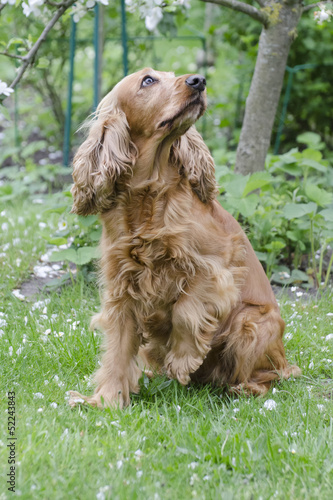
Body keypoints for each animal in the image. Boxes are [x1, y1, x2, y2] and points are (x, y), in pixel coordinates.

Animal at [68, 68, 300, 408]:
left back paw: (240, 388)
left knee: (269, 376)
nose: (199, 81)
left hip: (251, 323)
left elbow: (186, 309)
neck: (149, 196)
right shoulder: (121, 287)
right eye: (148, 80)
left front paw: (182, 359)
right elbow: (117, 351)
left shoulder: (216, 265)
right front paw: (106, 401)